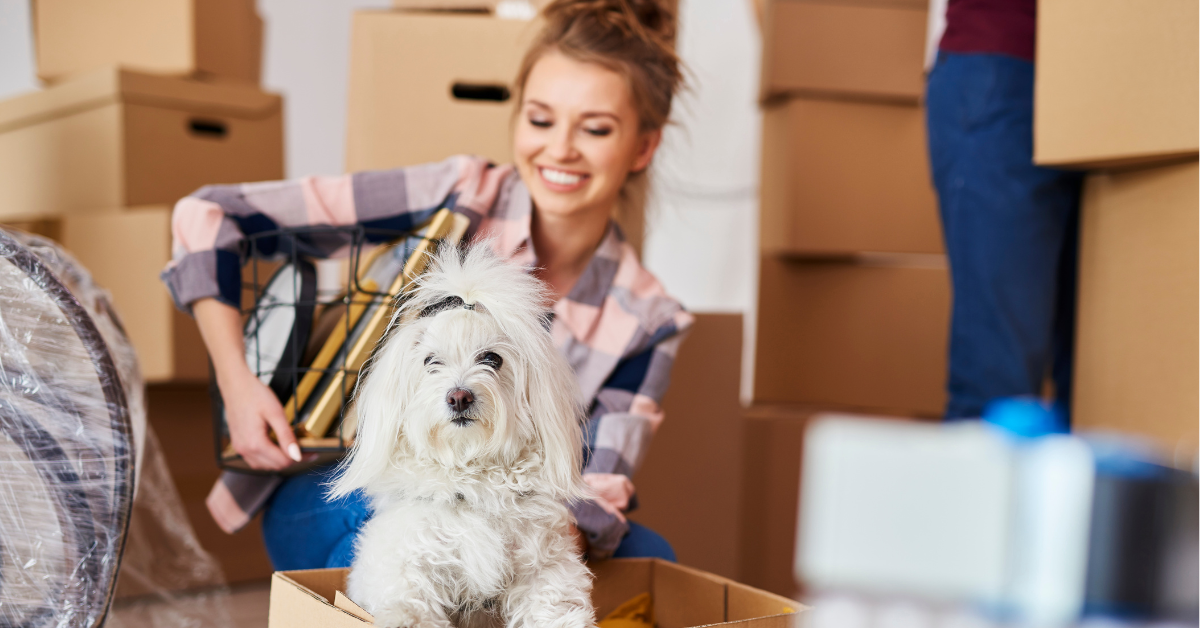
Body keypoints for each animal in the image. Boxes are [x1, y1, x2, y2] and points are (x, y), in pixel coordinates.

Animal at [331, 243, 592, 628]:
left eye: (492, 359)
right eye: (430, 361)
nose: (459, 397)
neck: (471, 480)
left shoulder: (543, 566)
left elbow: (553, 603)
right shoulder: (410, 559)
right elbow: (410, 600)